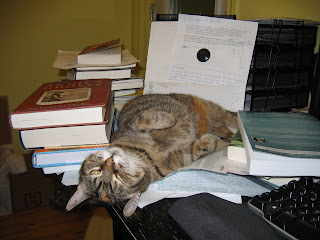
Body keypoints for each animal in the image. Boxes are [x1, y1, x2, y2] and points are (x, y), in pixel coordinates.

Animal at [65, 93, 238, 217]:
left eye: (95, 171)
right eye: (118, 179)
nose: (110, 161)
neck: (143, 155)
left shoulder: (133, 124)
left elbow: (146, 119)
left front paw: (169, 120)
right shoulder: (174, 162)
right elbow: (193, 152)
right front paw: (208, 142)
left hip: (208, 106)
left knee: (229, 117)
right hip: (211, 120)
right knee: (219, 125)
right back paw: (228, 137)